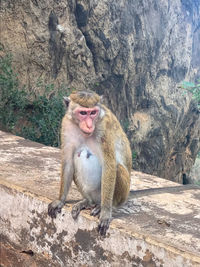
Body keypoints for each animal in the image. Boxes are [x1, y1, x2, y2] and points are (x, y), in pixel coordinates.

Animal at [47, 90, 132, 237]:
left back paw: (107, 206)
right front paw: (60, 200)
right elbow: (68, 162)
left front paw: (105, 212)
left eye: (92, 113)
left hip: (116, 195)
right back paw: (87, 201)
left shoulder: (104, 128)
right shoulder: (67, 125)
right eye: (83, 113)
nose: (89, 125)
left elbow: (110, 165)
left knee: (118, 168)